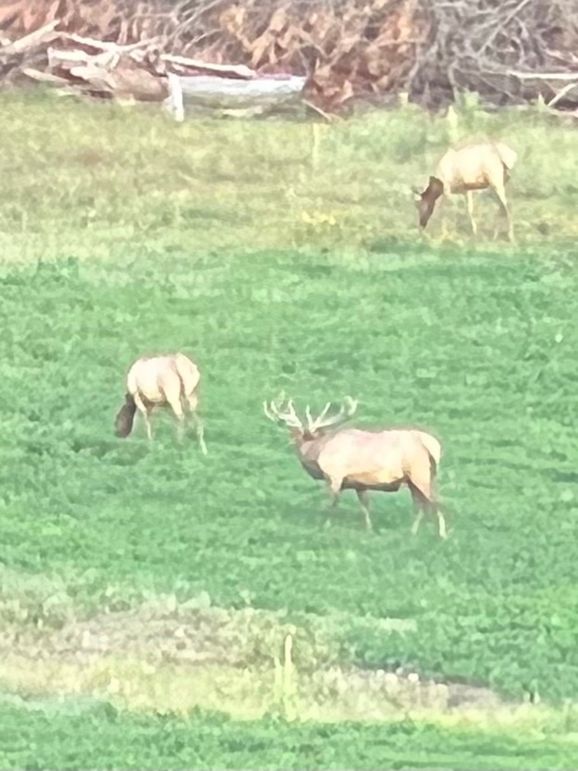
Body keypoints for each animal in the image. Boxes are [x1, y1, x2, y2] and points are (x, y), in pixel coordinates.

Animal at [264, 397, 446, 538]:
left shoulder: (334, 476)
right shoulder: (359, 483)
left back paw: (441, 534)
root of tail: (433, 446)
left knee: (435, 501)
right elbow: (364, 507)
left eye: (301, 437)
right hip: (414, 479)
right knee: (420, 504)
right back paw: (412, 532)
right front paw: (369, 529)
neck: (318, 453)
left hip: (420, 473)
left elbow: (332, 504)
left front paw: (325, 527)